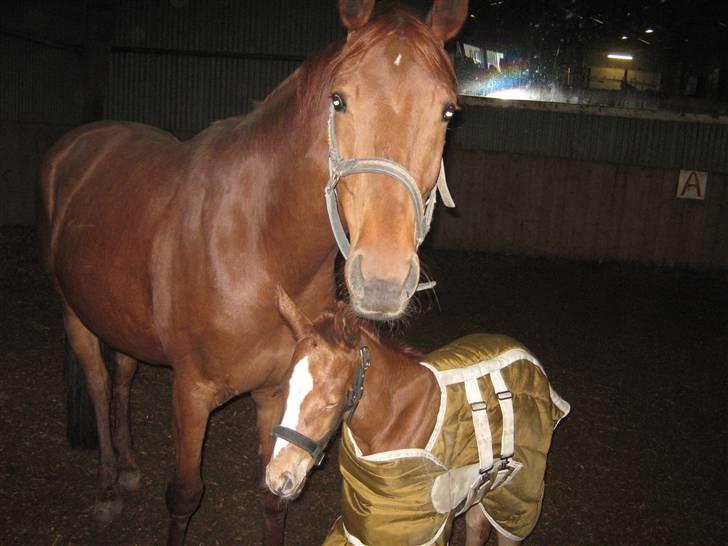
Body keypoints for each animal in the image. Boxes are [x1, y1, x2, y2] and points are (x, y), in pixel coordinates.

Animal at [35, 1, 466, 544]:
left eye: (447, 111)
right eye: (339, 100)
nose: (383, 279)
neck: (261, 249)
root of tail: (82, 140)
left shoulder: (278, 392)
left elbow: (273, 498)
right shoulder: (191, 393)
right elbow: (184, 496)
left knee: (123, 377)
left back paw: (130, 466)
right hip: (76, 315)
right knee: (95, 383)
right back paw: (110, 486)